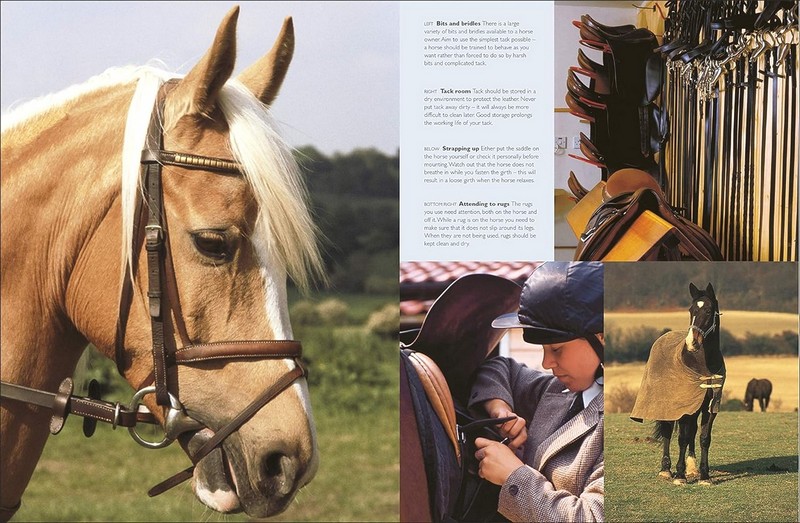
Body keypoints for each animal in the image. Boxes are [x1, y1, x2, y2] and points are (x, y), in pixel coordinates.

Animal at [630, 282, 725, 486]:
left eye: (708, 310)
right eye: (691, 310)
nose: (692, 342)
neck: (703, 365)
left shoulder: (709, 406)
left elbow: (704, 438)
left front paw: (704, 476)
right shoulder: (682, 407)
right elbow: (682, 437)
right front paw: (680, 475)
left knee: (692, 432)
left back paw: (692, 468)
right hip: (668, 407)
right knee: (668, 433)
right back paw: (666, 470)